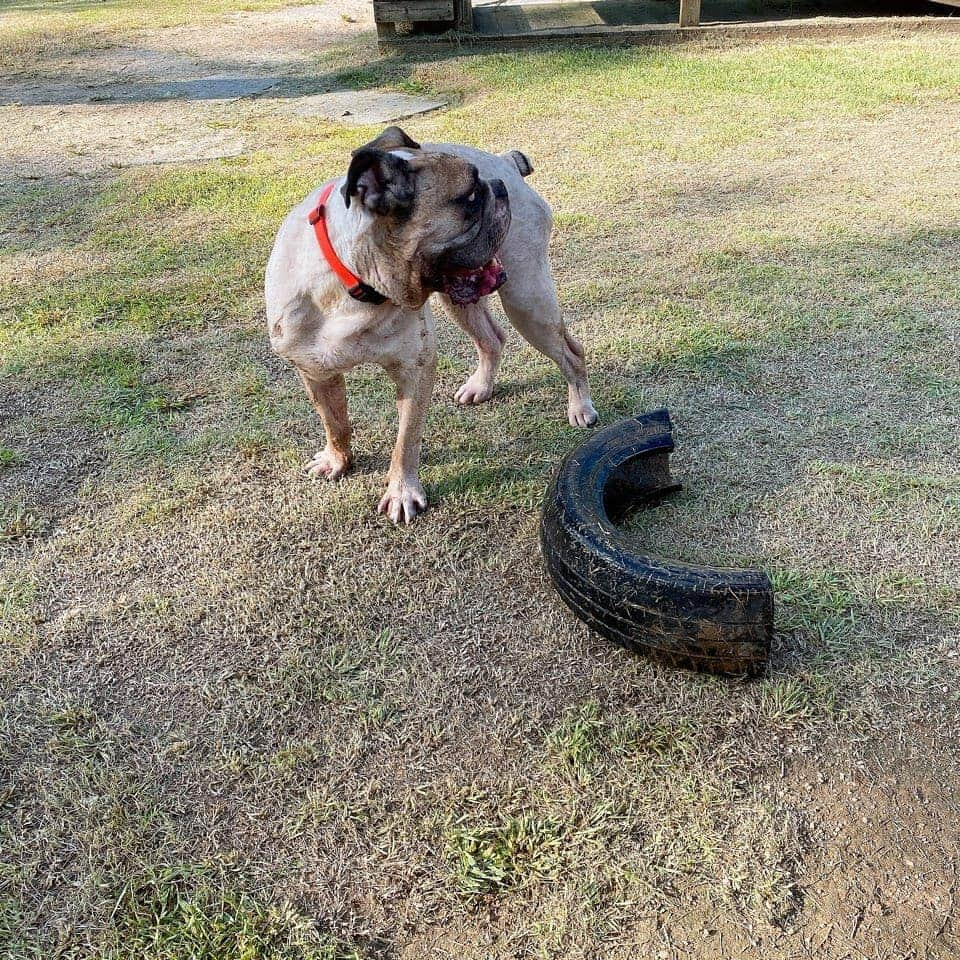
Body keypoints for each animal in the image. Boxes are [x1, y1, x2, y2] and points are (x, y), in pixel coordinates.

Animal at [266, 125, 596, 524]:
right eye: (471, 197)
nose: (496, 187)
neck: (354, 286)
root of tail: (505, 162)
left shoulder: (415, 370)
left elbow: (405, 440)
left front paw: (402, 492)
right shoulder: (315, 371)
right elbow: (334, 421)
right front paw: (337, 460)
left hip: (527, 299)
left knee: (570, 353)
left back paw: (579, 406)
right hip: (462, 301)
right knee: (492, 339)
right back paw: (481, 386)